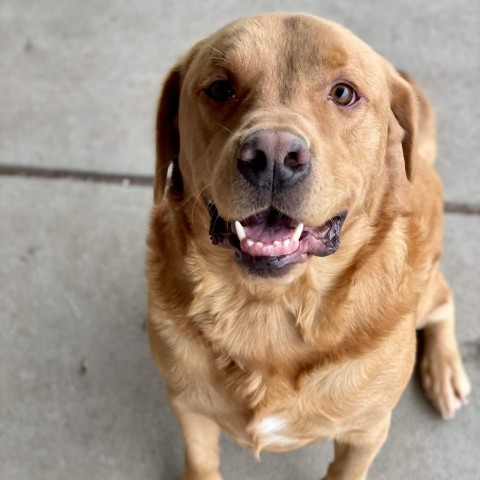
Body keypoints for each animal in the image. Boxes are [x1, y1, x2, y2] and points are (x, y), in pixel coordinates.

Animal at [145, 12, 468, 480]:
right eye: (221, 88)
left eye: (343, 93)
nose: (273, 156)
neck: (269, 307)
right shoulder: (188, 408)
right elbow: (201, 460)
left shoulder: (366, 432)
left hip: (424, 292)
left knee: (444, 299)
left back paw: (444, 369)